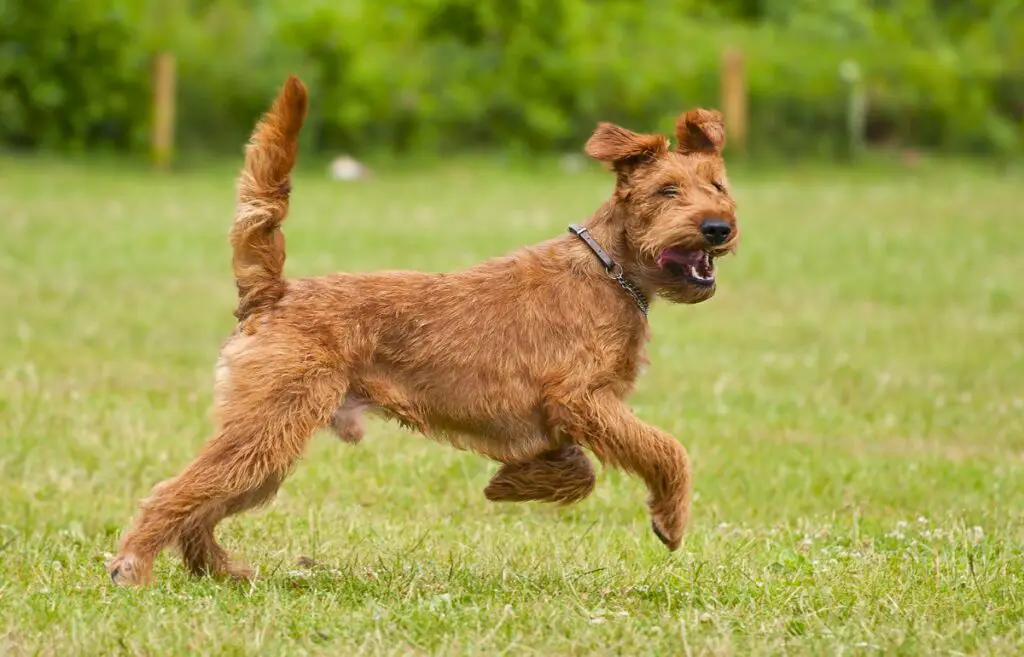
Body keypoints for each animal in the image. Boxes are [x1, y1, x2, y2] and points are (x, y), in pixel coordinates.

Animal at [105, 75, 737, 581]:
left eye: (719, 186)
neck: (611, 270)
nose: (718, 228)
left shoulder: (567, 414)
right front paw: (670, 520)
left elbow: (579, 468)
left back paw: (218, 569)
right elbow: (665, 448)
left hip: (268, 439)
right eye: (667, 191)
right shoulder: (581, 398)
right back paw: (132, 567)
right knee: (175, 493)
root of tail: (272, 293)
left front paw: (513, 484)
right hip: (270, 423)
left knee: (204, 503)